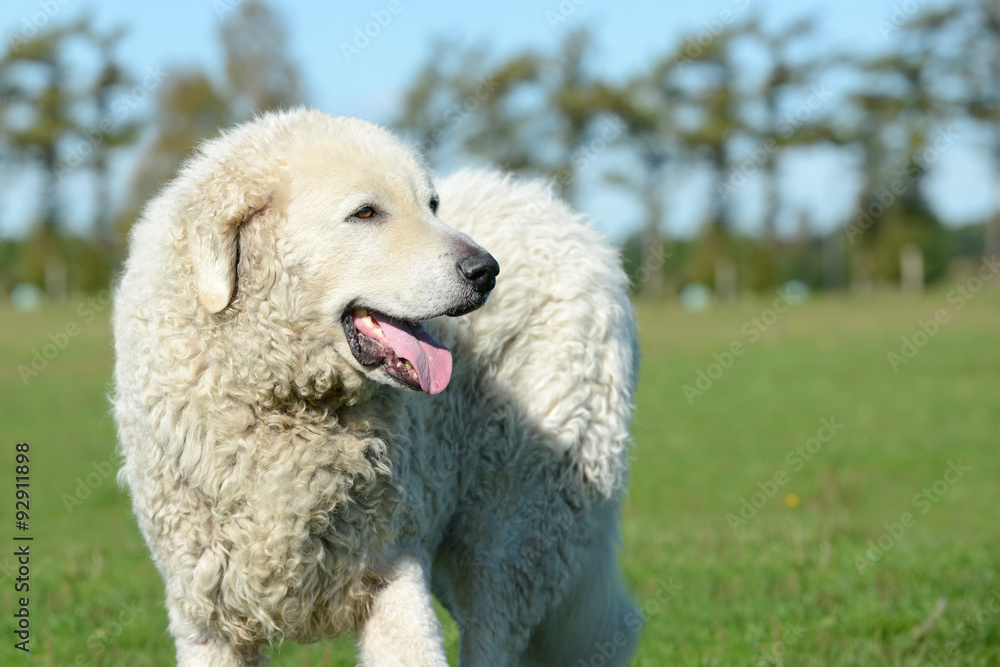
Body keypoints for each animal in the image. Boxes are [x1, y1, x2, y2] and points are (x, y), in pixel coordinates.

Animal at [111, 107, 640, 664]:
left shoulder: (394, 571)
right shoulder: (206, 616)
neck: (291, 405)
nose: (487, 270)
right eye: (365, 213)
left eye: (432, 205)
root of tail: (563, 219)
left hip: (512, 534)